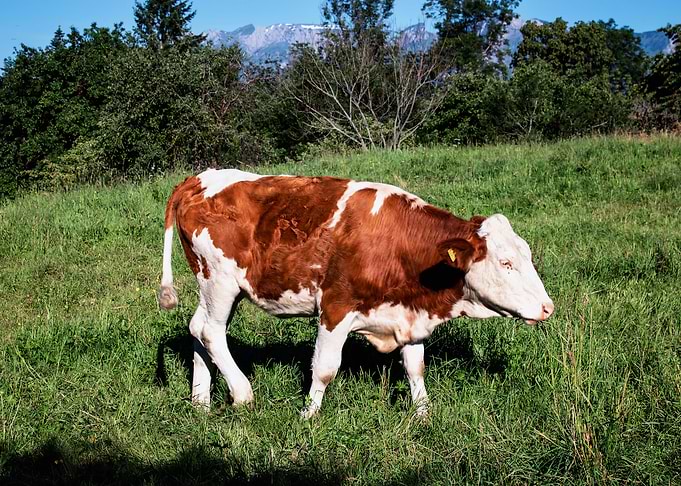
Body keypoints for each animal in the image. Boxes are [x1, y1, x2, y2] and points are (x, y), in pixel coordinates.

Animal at [158, 169, 554, 418]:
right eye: (505, 263)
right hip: (219, 280)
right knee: (211, 331)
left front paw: (423, 415)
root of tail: (198, 178)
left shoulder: (408, 313)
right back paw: (242, 394)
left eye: (527, 254)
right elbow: (325, 369)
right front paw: (308, 416)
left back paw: (201, 401)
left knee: (198, 328)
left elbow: (416, 367)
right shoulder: (336, 306)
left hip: (219, 287)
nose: (548, 307)